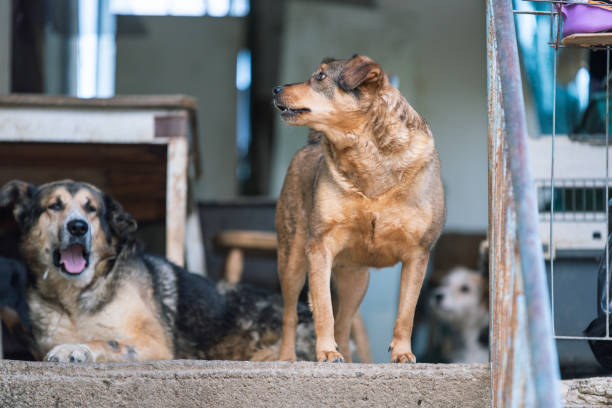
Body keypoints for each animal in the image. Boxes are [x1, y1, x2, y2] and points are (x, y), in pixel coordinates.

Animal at [1, 180, 316, 362]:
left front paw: (76, 349)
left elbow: (107, 341)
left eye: (92, 210)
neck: (77, 298)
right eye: (54, 206)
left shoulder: (153, 344)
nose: (78, 227)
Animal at [272, 55, 444, 364]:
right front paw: (325, 352)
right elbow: (323, 310)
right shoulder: (319, 247)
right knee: (292, 315)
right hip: (291, 259)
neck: (363, 150)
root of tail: (311, 143)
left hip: (356, 278)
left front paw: (403, 353)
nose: (275, 89)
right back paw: (288, 357)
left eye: (320, 77)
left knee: (344, 325)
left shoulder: (418, 253)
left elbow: (406, 313)